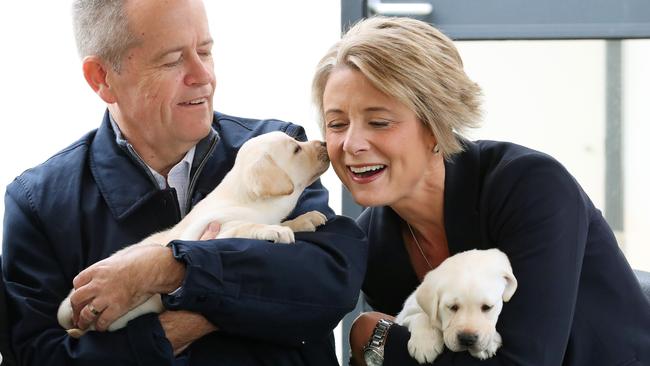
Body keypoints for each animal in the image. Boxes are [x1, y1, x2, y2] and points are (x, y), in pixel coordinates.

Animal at [57, 132, 330, 338]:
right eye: (296, 149)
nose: (325, 143)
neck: (249, 200)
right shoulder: (215, 231)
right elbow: (245, 226)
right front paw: (273, 230)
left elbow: (283, 220)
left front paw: (303, 219)